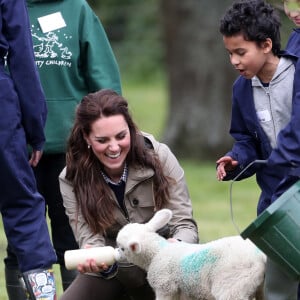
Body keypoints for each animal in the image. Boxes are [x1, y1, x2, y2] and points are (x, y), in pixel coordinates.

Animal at [116, 209, 266, 300]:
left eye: (122, 248)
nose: (116, 254)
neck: (158, 252)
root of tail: (260, 257)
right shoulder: (183, 292)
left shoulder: (165, 286)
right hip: (257, 287)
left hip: (232, 284)